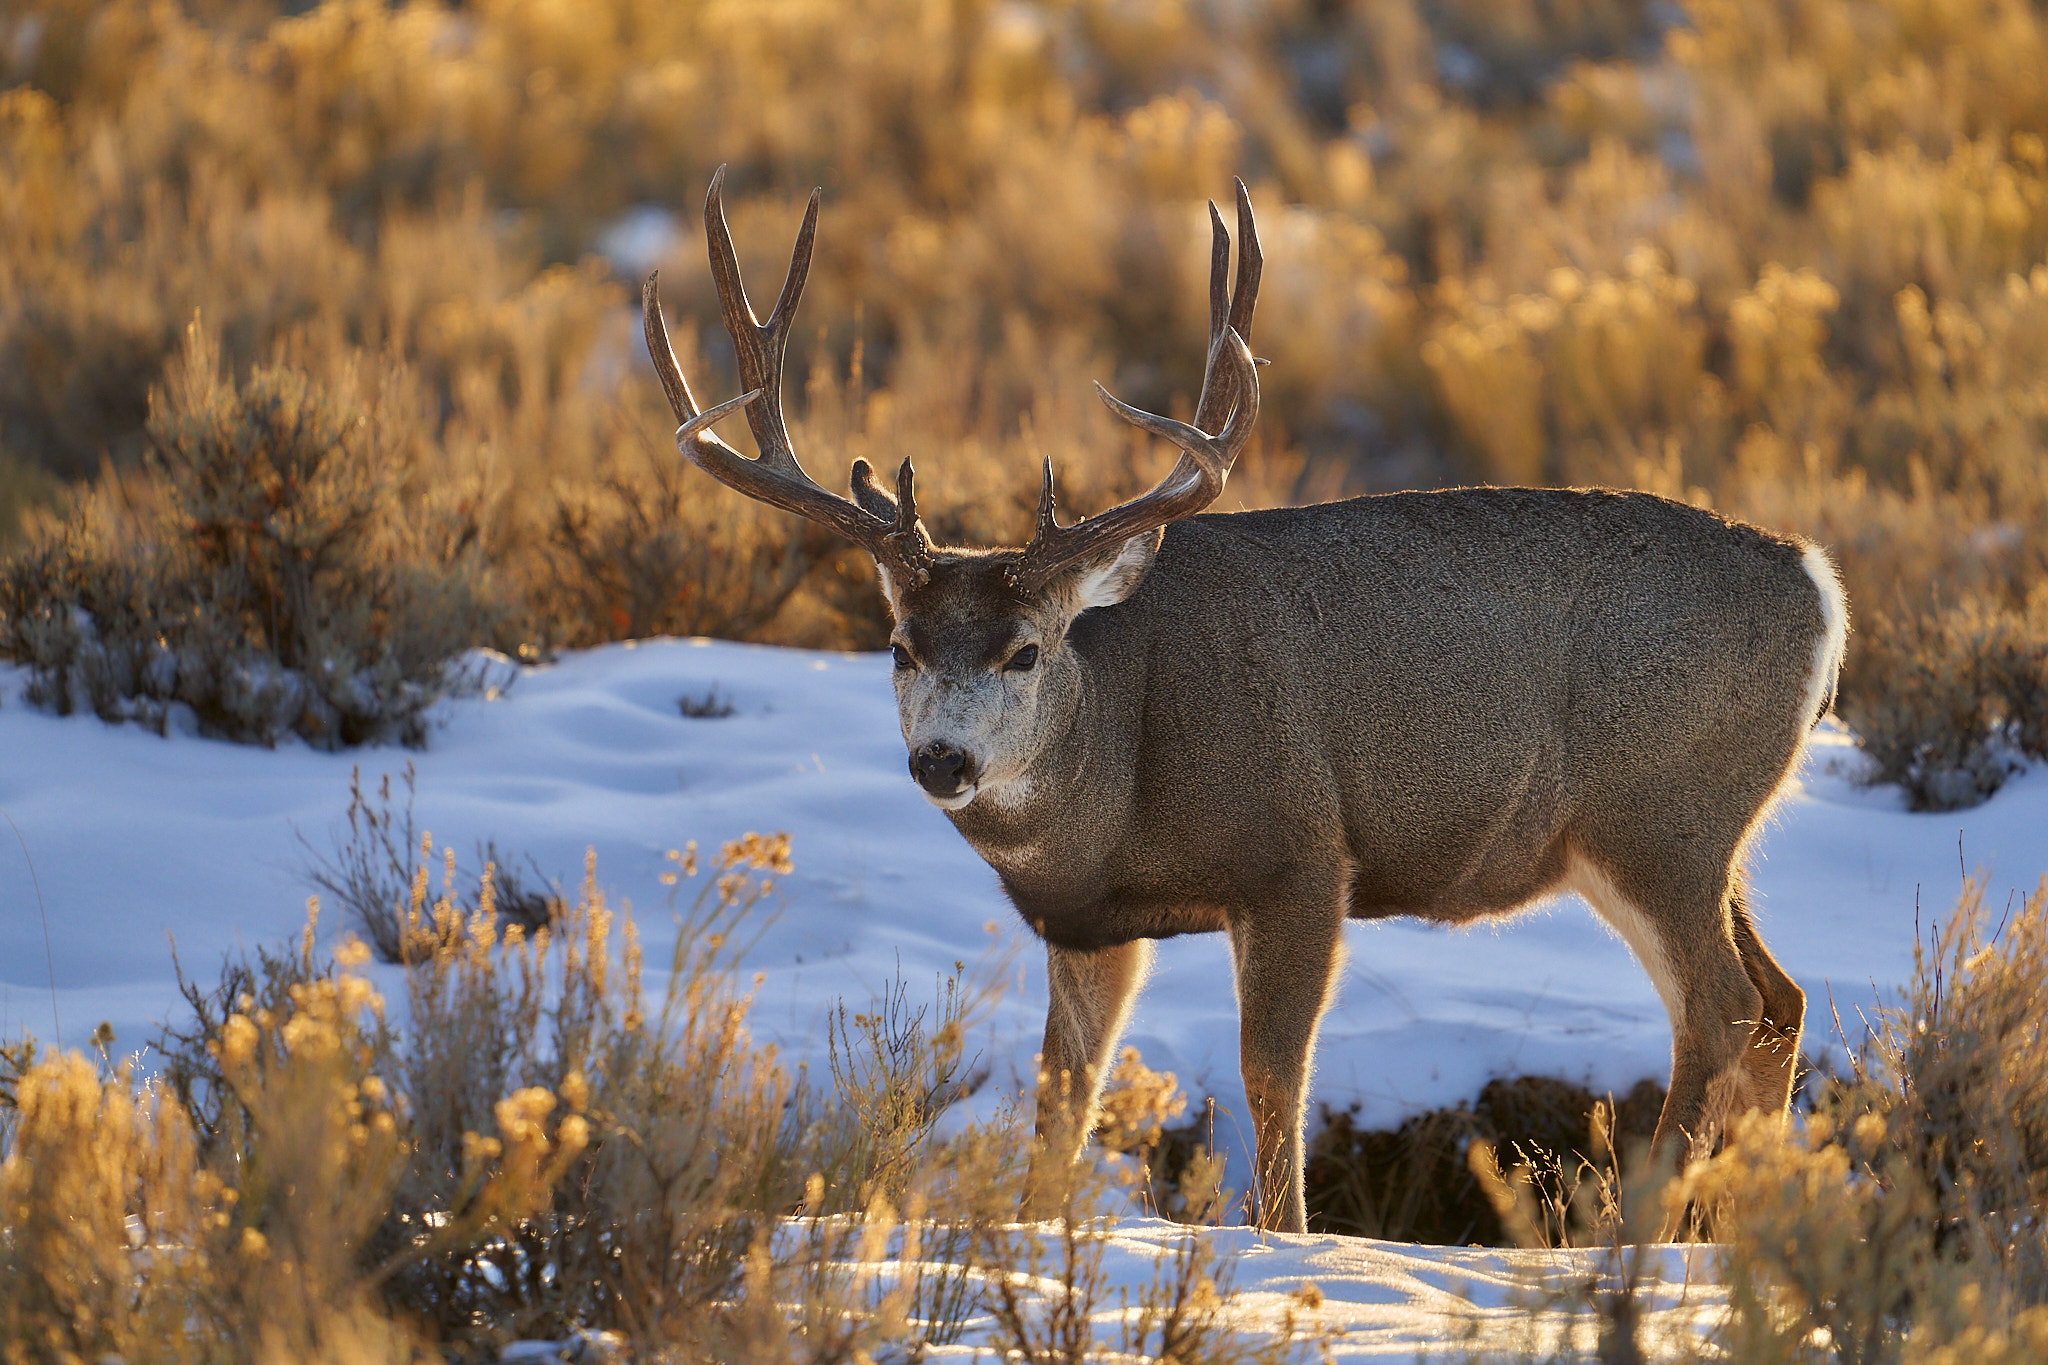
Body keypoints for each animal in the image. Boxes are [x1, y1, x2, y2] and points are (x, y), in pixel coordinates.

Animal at [641, 168, 1850, 1234]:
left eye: (1026, 650)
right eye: (896, 645)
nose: (943, 760)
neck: (1118, 784)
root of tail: (1818, 584)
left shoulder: (1299, 854)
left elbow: (1272, 1073)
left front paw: (1284, 1238)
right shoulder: (1084, 923)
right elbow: (1062, 1092)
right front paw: (1029, 1234)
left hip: (1658, 814)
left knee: (1722, 1005)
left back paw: (1641, 1236)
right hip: (1692, 834)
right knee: (1778, 1001)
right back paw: (1742, 1231)